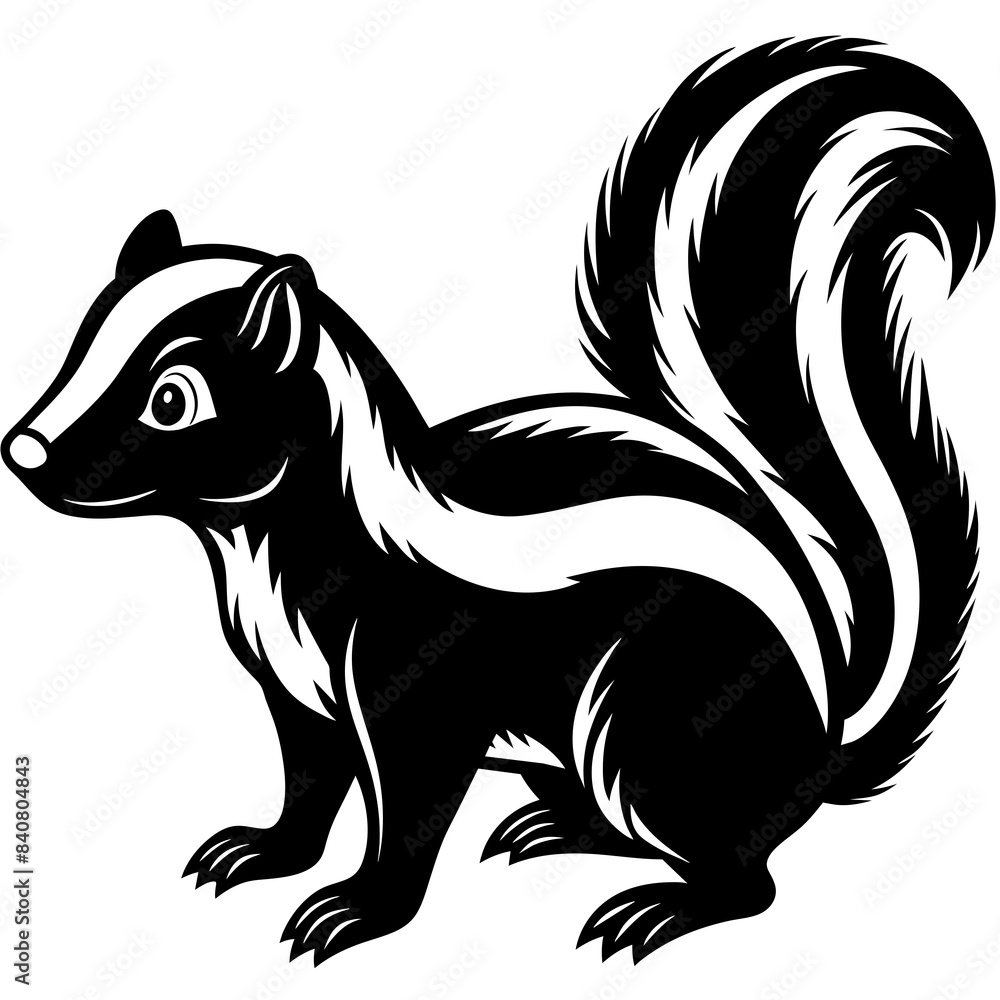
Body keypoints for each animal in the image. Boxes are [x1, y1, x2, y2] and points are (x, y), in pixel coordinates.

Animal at [3, 37, 993, 967]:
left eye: (173, 400)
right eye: (83, 339)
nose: (26, 449)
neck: (277, 547)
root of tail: (829, 727)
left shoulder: (417, 667)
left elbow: (409, 795)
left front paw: (356, 910)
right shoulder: (294, 681)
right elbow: (309, 775)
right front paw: (265, 849)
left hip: (657, 704)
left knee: (740, 868)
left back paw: (658, 909)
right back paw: (552, 827)